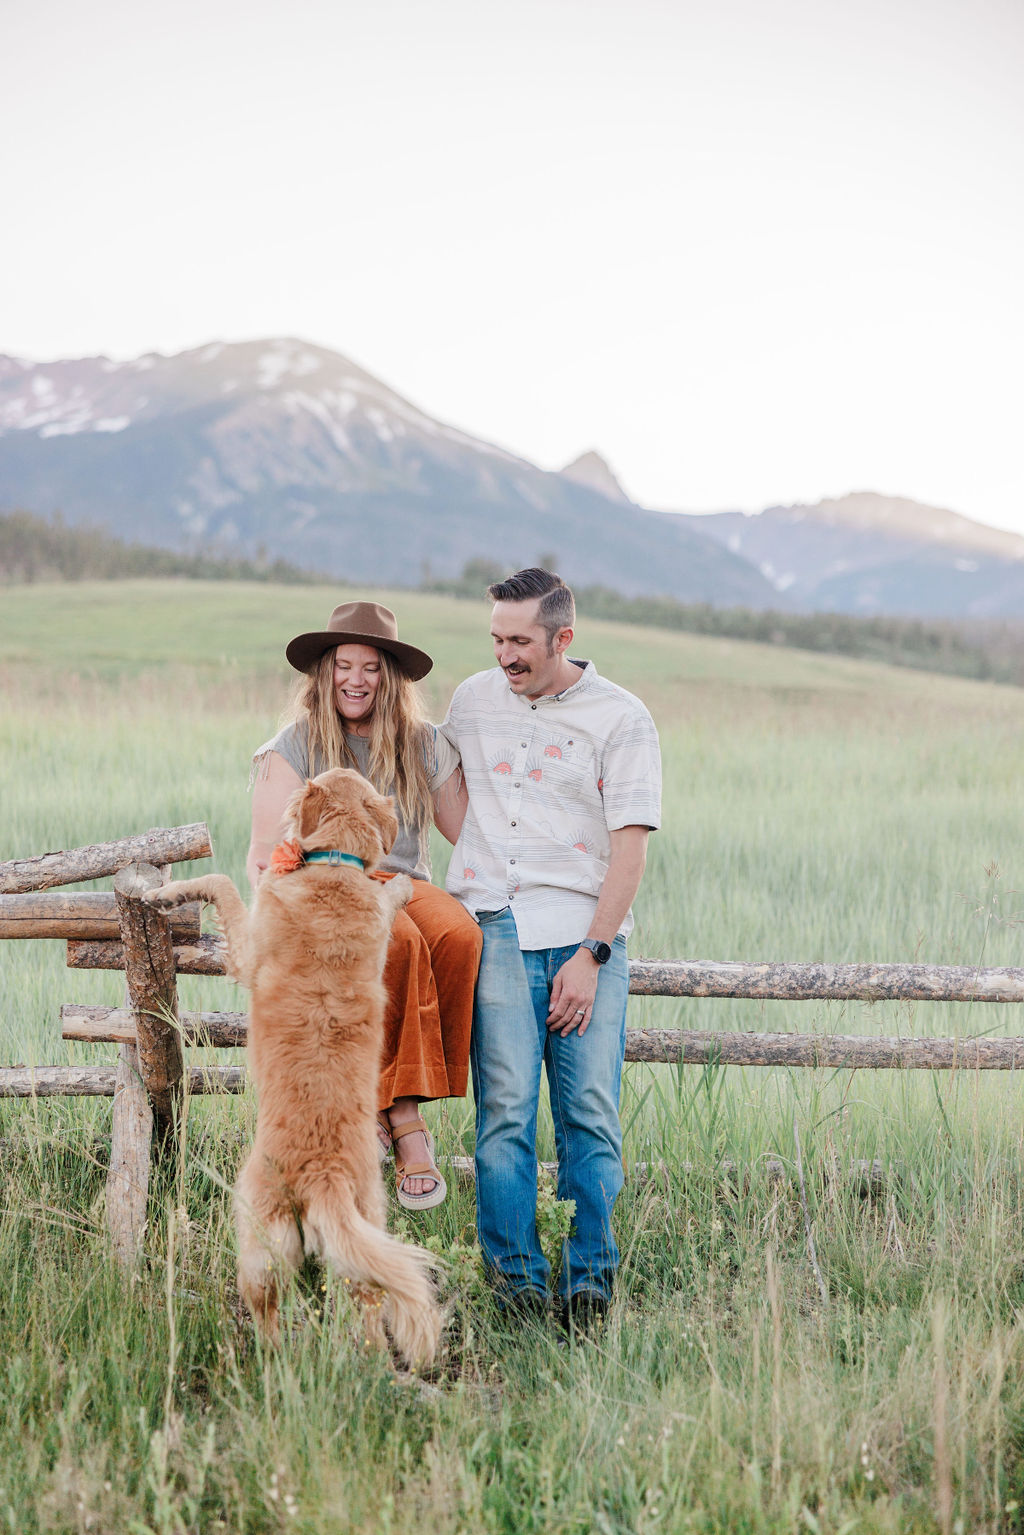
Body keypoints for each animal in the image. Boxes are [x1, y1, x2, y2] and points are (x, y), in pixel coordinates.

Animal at [144, 767, 445, 1369]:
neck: (336, 867)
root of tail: (323, 1175)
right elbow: (390, 894)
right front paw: (399, 888)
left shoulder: (248, 947)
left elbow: (219, 881)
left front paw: (165, 891)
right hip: (361, 1239)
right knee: (369, 1313)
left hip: (260, 1242)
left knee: (268, 1314)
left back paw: (266, 1361)